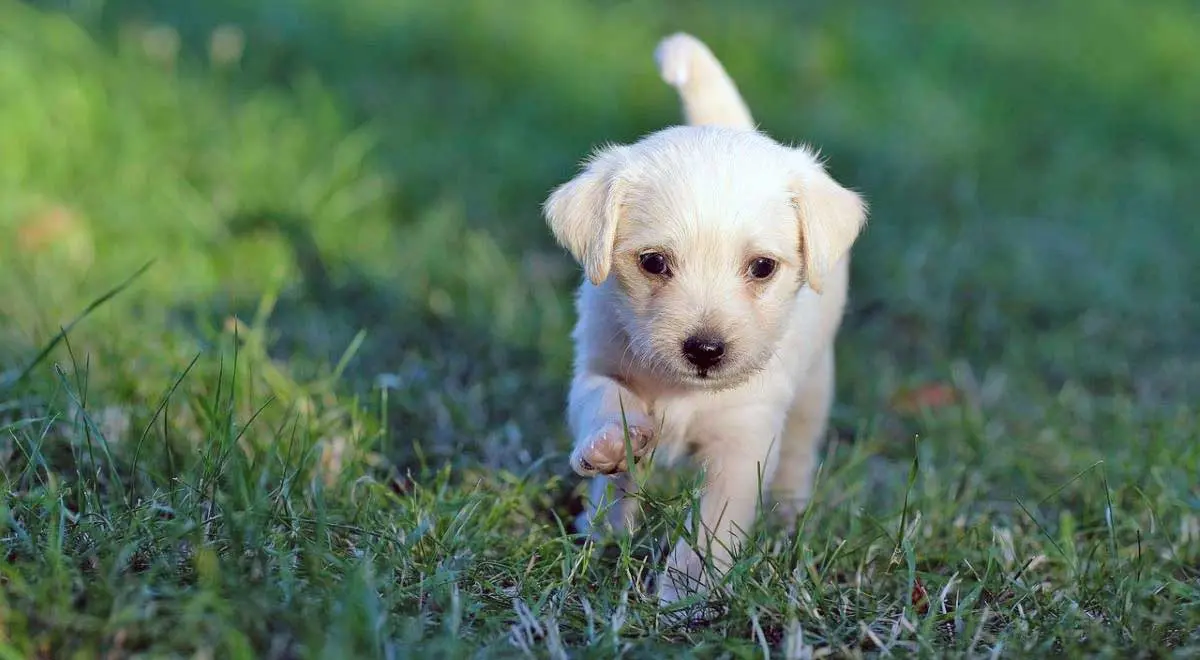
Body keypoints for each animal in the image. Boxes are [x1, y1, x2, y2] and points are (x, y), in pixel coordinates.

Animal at [542, 33, 864, 607]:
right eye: (652, 262)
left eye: (762, 267)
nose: (706, 350)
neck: (682, 391)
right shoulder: (597, 365)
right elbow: (605, 401)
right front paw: (612, 445)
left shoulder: (744, 441)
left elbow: (714, 525)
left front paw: (686, 593)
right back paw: (601, 527)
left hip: (814, 388)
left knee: (800, 450)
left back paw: (787, 513)